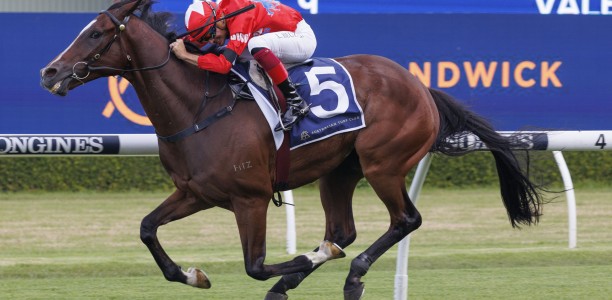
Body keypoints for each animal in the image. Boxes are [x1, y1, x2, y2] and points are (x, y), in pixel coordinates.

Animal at [40, 1, 544, 298]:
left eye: (95, 34)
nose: (50, 72)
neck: (197, 107)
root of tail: (419, 85)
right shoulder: (196, 192)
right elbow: (147, 229)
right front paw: (193, 274)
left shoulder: (251, 198)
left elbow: (255, 265)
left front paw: (306, 258)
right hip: (338, 170)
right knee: (343, 229)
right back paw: (302, 278)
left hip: (383, 164)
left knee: (405, 220)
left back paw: (349, 272)